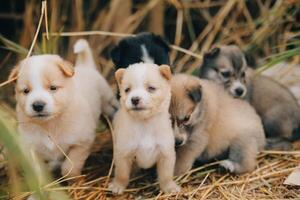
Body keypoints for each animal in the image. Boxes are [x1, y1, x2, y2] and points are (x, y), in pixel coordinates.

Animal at [9, 39, 115, 177]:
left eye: (53, 88)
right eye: (26, 91)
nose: (38, 105)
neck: (50, 124)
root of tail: (85, 67)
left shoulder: (82, 143)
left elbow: (70, 166)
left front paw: (73, 178)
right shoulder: (30, 148)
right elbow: (39, 172)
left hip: (108, 103)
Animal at [110, 63, 180, 195]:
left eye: (151, 88)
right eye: (127, 90)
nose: (134, 99)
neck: (145, 124)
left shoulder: (166, 153)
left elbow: (166, 175)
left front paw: (169, 187)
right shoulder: (123, 153)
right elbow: (121, 173)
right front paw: (118, 186)